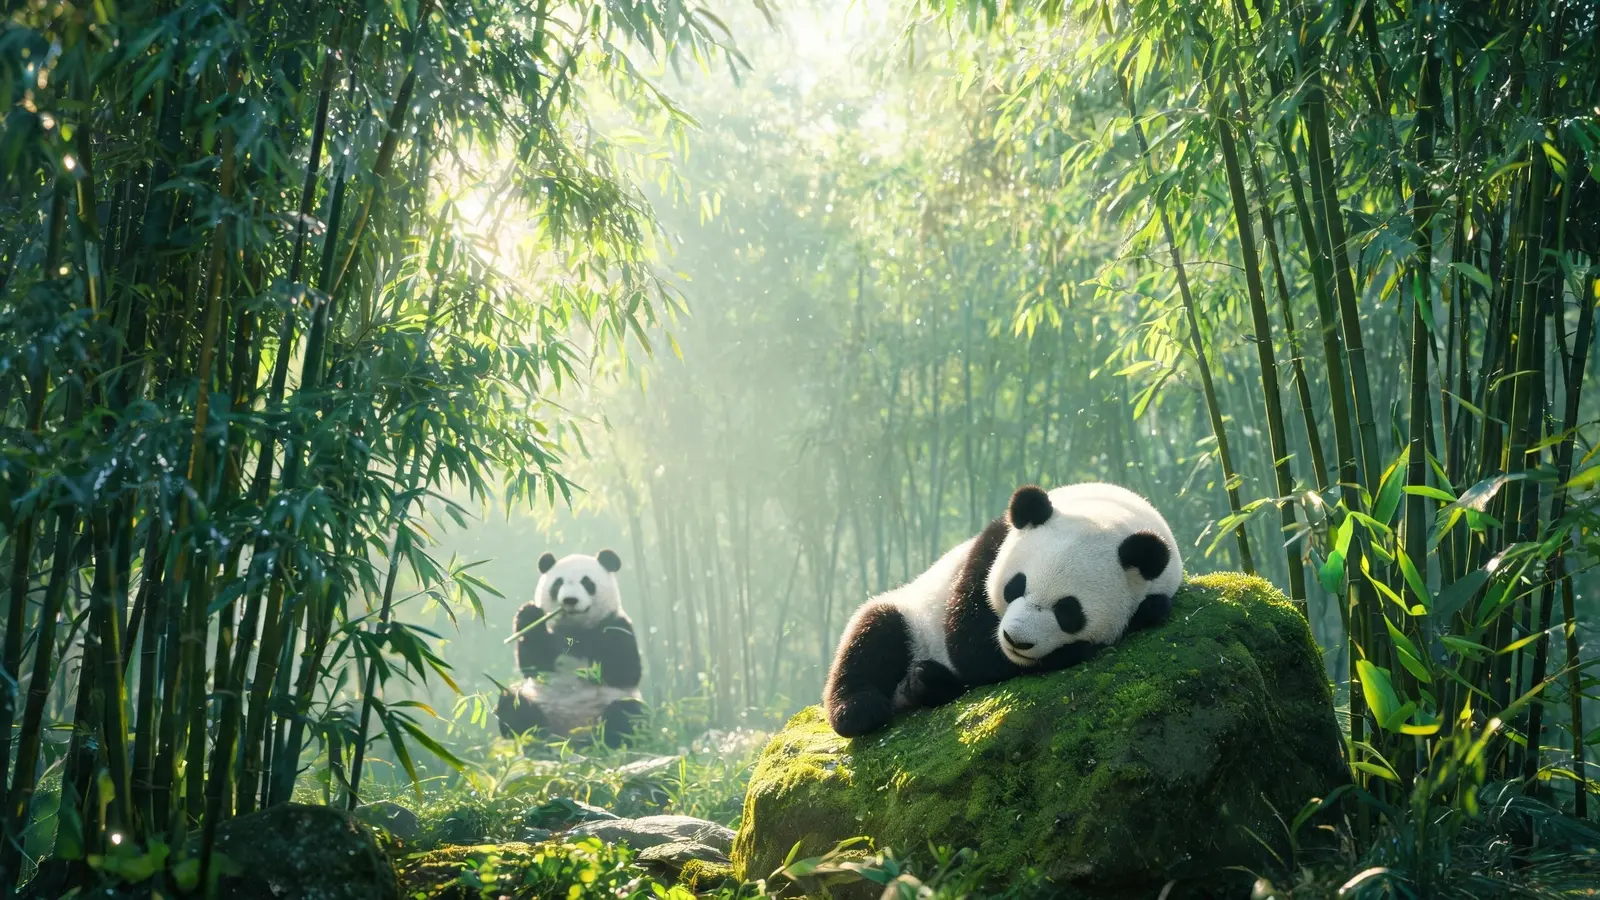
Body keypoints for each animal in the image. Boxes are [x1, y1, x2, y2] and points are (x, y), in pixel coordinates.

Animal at [495, 549, 647, 749]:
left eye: (587, 582)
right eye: (558, 583)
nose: (570, 600)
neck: (576, 630)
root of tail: (572, 738)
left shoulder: (616, 625)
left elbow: (625, 670)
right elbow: (533, 665)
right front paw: (529, 614)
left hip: (608, 707)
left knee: (626, 713)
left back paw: (611, 741)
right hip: (540, 702)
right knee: (514, 706)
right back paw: (536, 739)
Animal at [823, 482, 1182, 737]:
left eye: (1068, 611)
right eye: (1015, 586)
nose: (1015, 639)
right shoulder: (990, 547)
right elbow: (970, 646)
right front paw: (1072, 652)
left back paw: (926, 682)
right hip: (914, 615)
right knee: (875, 634)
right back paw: (861, 709)